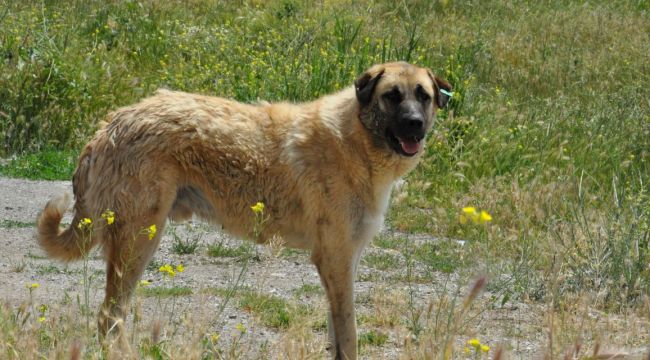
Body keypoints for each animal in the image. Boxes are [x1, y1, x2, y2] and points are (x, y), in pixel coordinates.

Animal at [36, 61, 450, 358]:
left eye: (423, 96)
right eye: (392, 96)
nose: (415, 125)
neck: (358, 140)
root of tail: (113, 123)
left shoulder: (344, 259)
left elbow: (338, 334)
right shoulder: (335, 258)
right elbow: (349, 334)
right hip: (140, 241)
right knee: (110, 317)